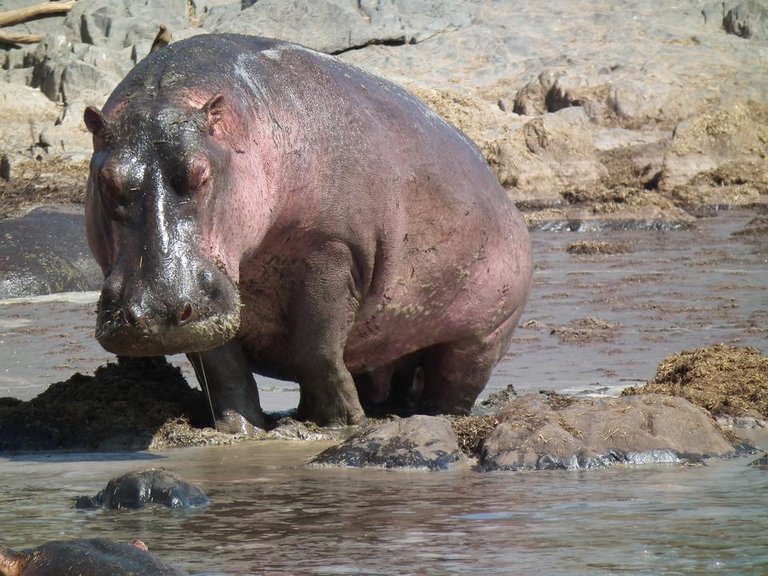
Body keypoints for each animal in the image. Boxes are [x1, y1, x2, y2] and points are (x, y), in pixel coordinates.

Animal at [81, 33, 532, 432]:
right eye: (106, 180)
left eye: (201, 173)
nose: (156, 311)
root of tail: (504, 196)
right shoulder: (213, 303)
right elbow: (222, 367)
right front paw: (238, 430)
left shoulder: (333, 249)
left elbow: (315, 346)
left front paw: (339, 424)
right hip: (388, 339)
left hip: (482, 336)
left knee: (451, 385)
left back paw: (427, 415)